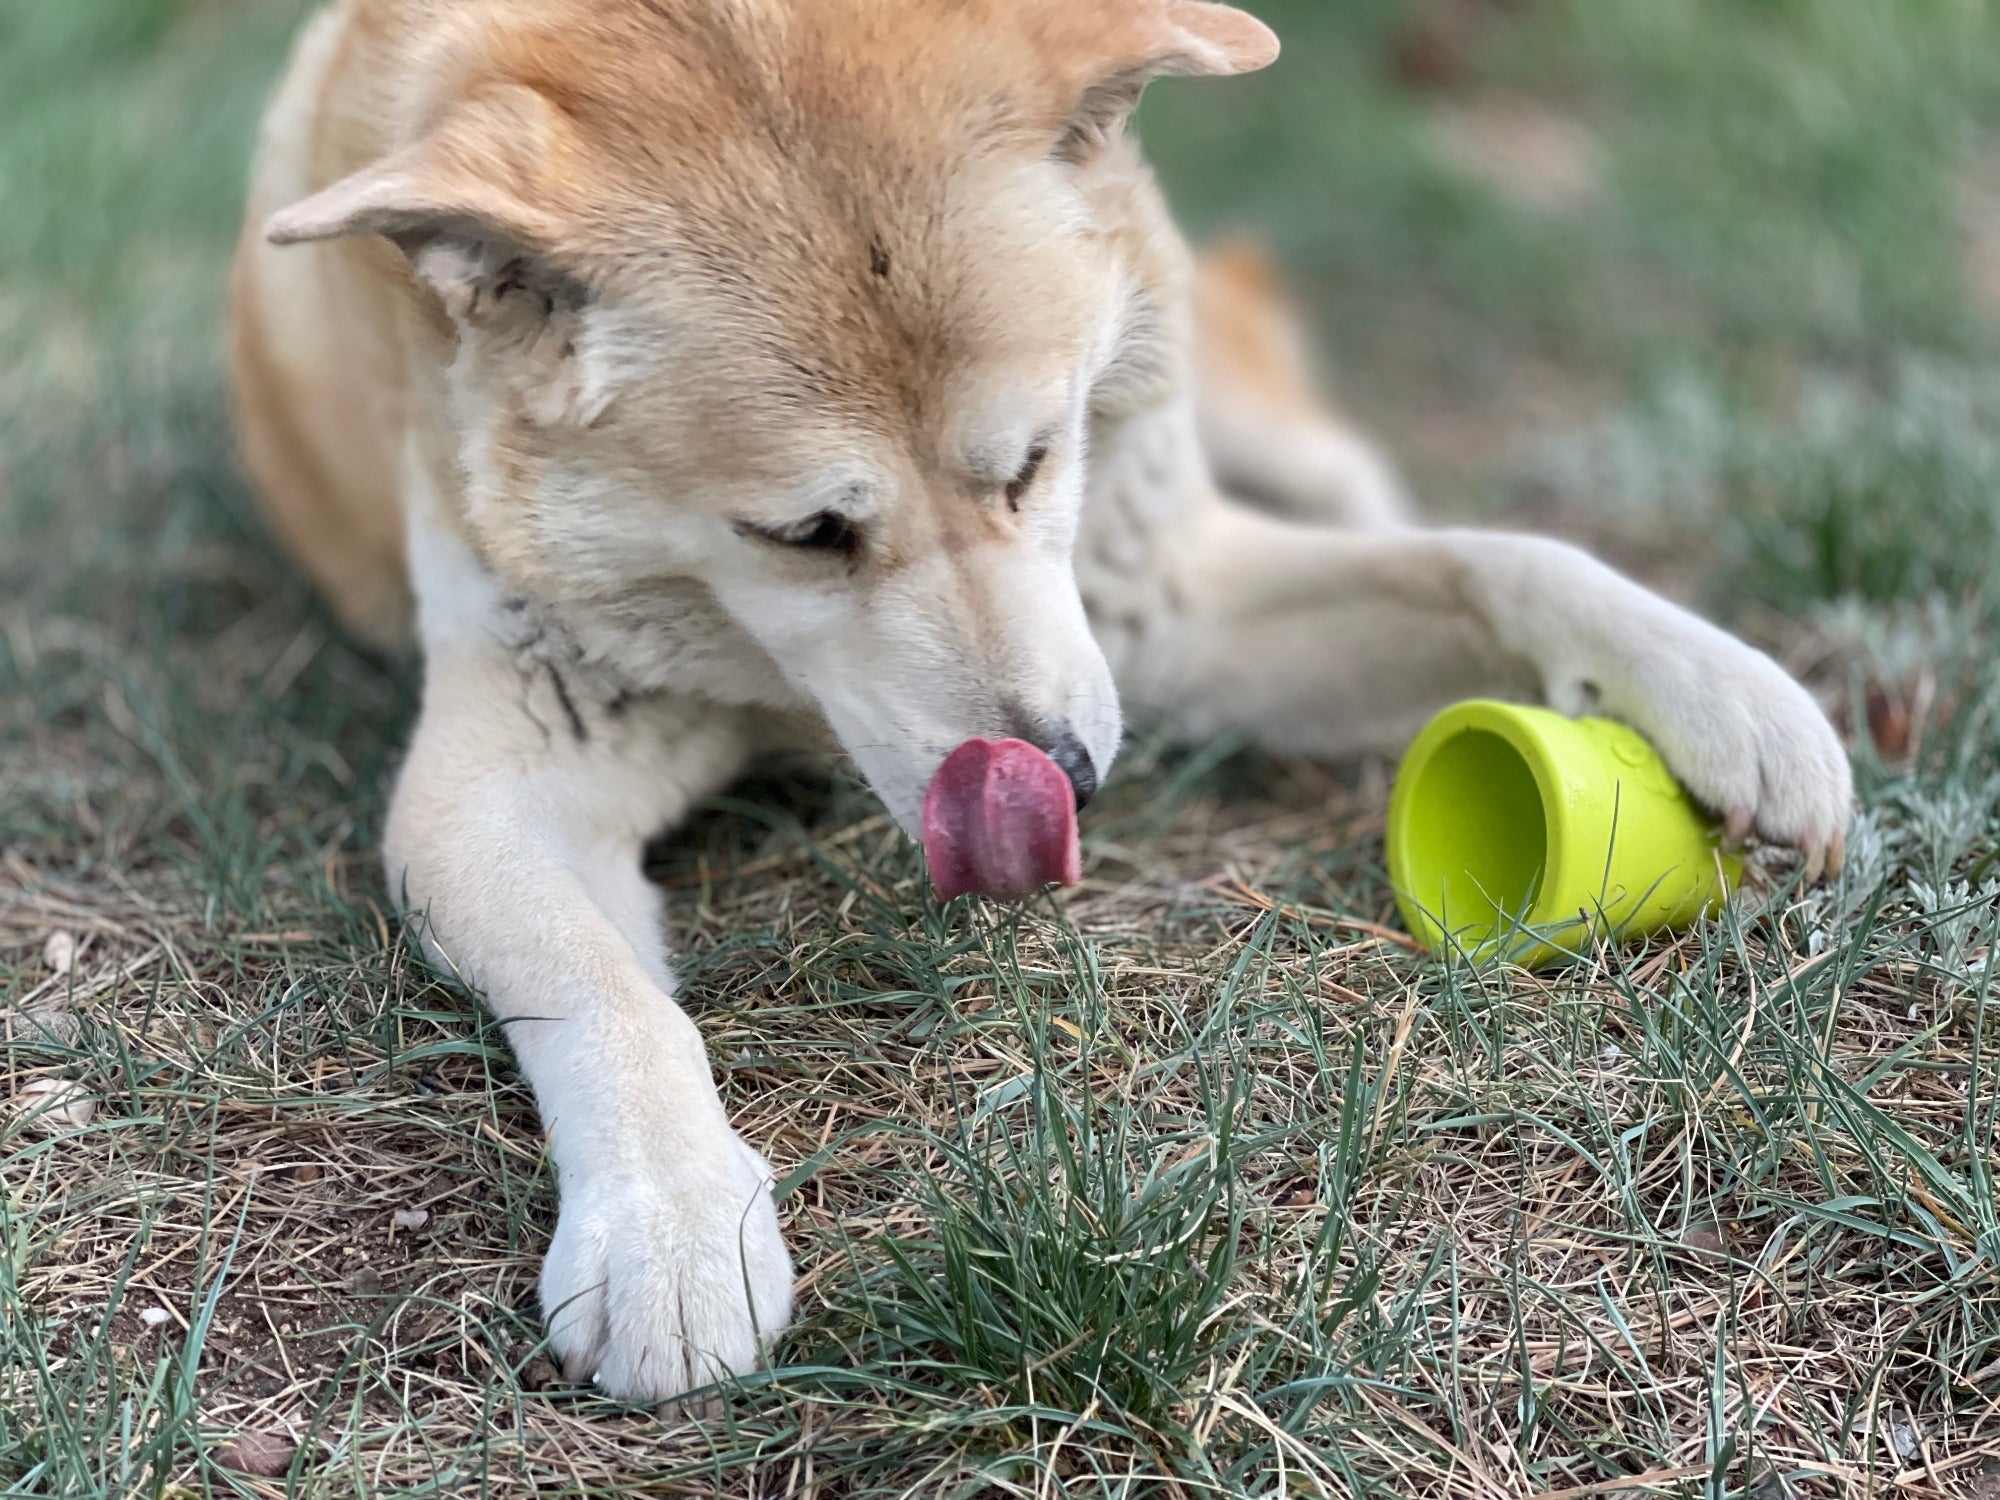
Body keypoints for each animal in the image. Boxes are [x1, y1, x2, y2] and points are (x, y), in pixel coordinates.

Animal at [227, 0, 1848, 1408]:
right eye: (805, 535)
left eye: (1030, 462)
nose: (1063, 771)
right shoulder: (492, 776)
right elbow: (606, 991)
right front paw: (666, 1222)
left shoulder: (1156, 609)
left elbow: (1502, 559)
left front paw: (1729, 696)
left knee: (1345, 467)